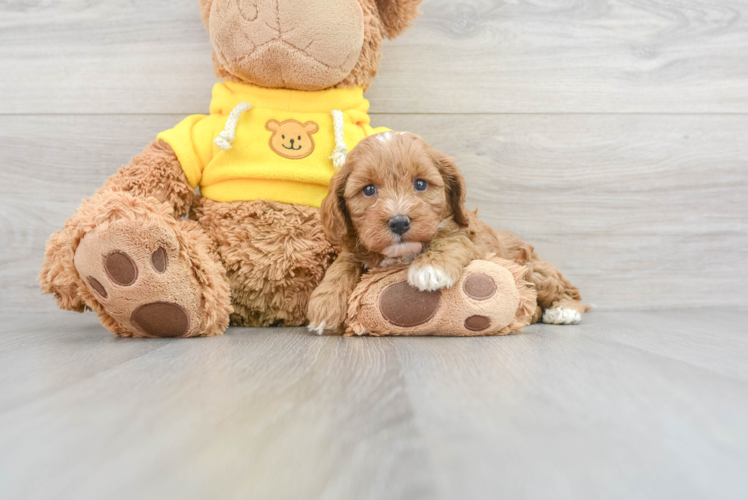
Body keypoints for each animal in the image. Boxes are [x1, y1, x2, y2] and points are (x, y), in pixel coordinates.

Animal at [306, 131, 588, 334]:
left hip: (533, 268)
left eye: (420, 184)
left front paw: (430, 269)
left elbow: (447, 240)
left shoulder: (465, 233)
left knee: (568, 290)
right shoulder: (357, 246)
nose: (399, 223)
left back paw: (564, 311)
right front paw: (324, 305)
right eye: (368, 190)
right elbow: (342, 265)